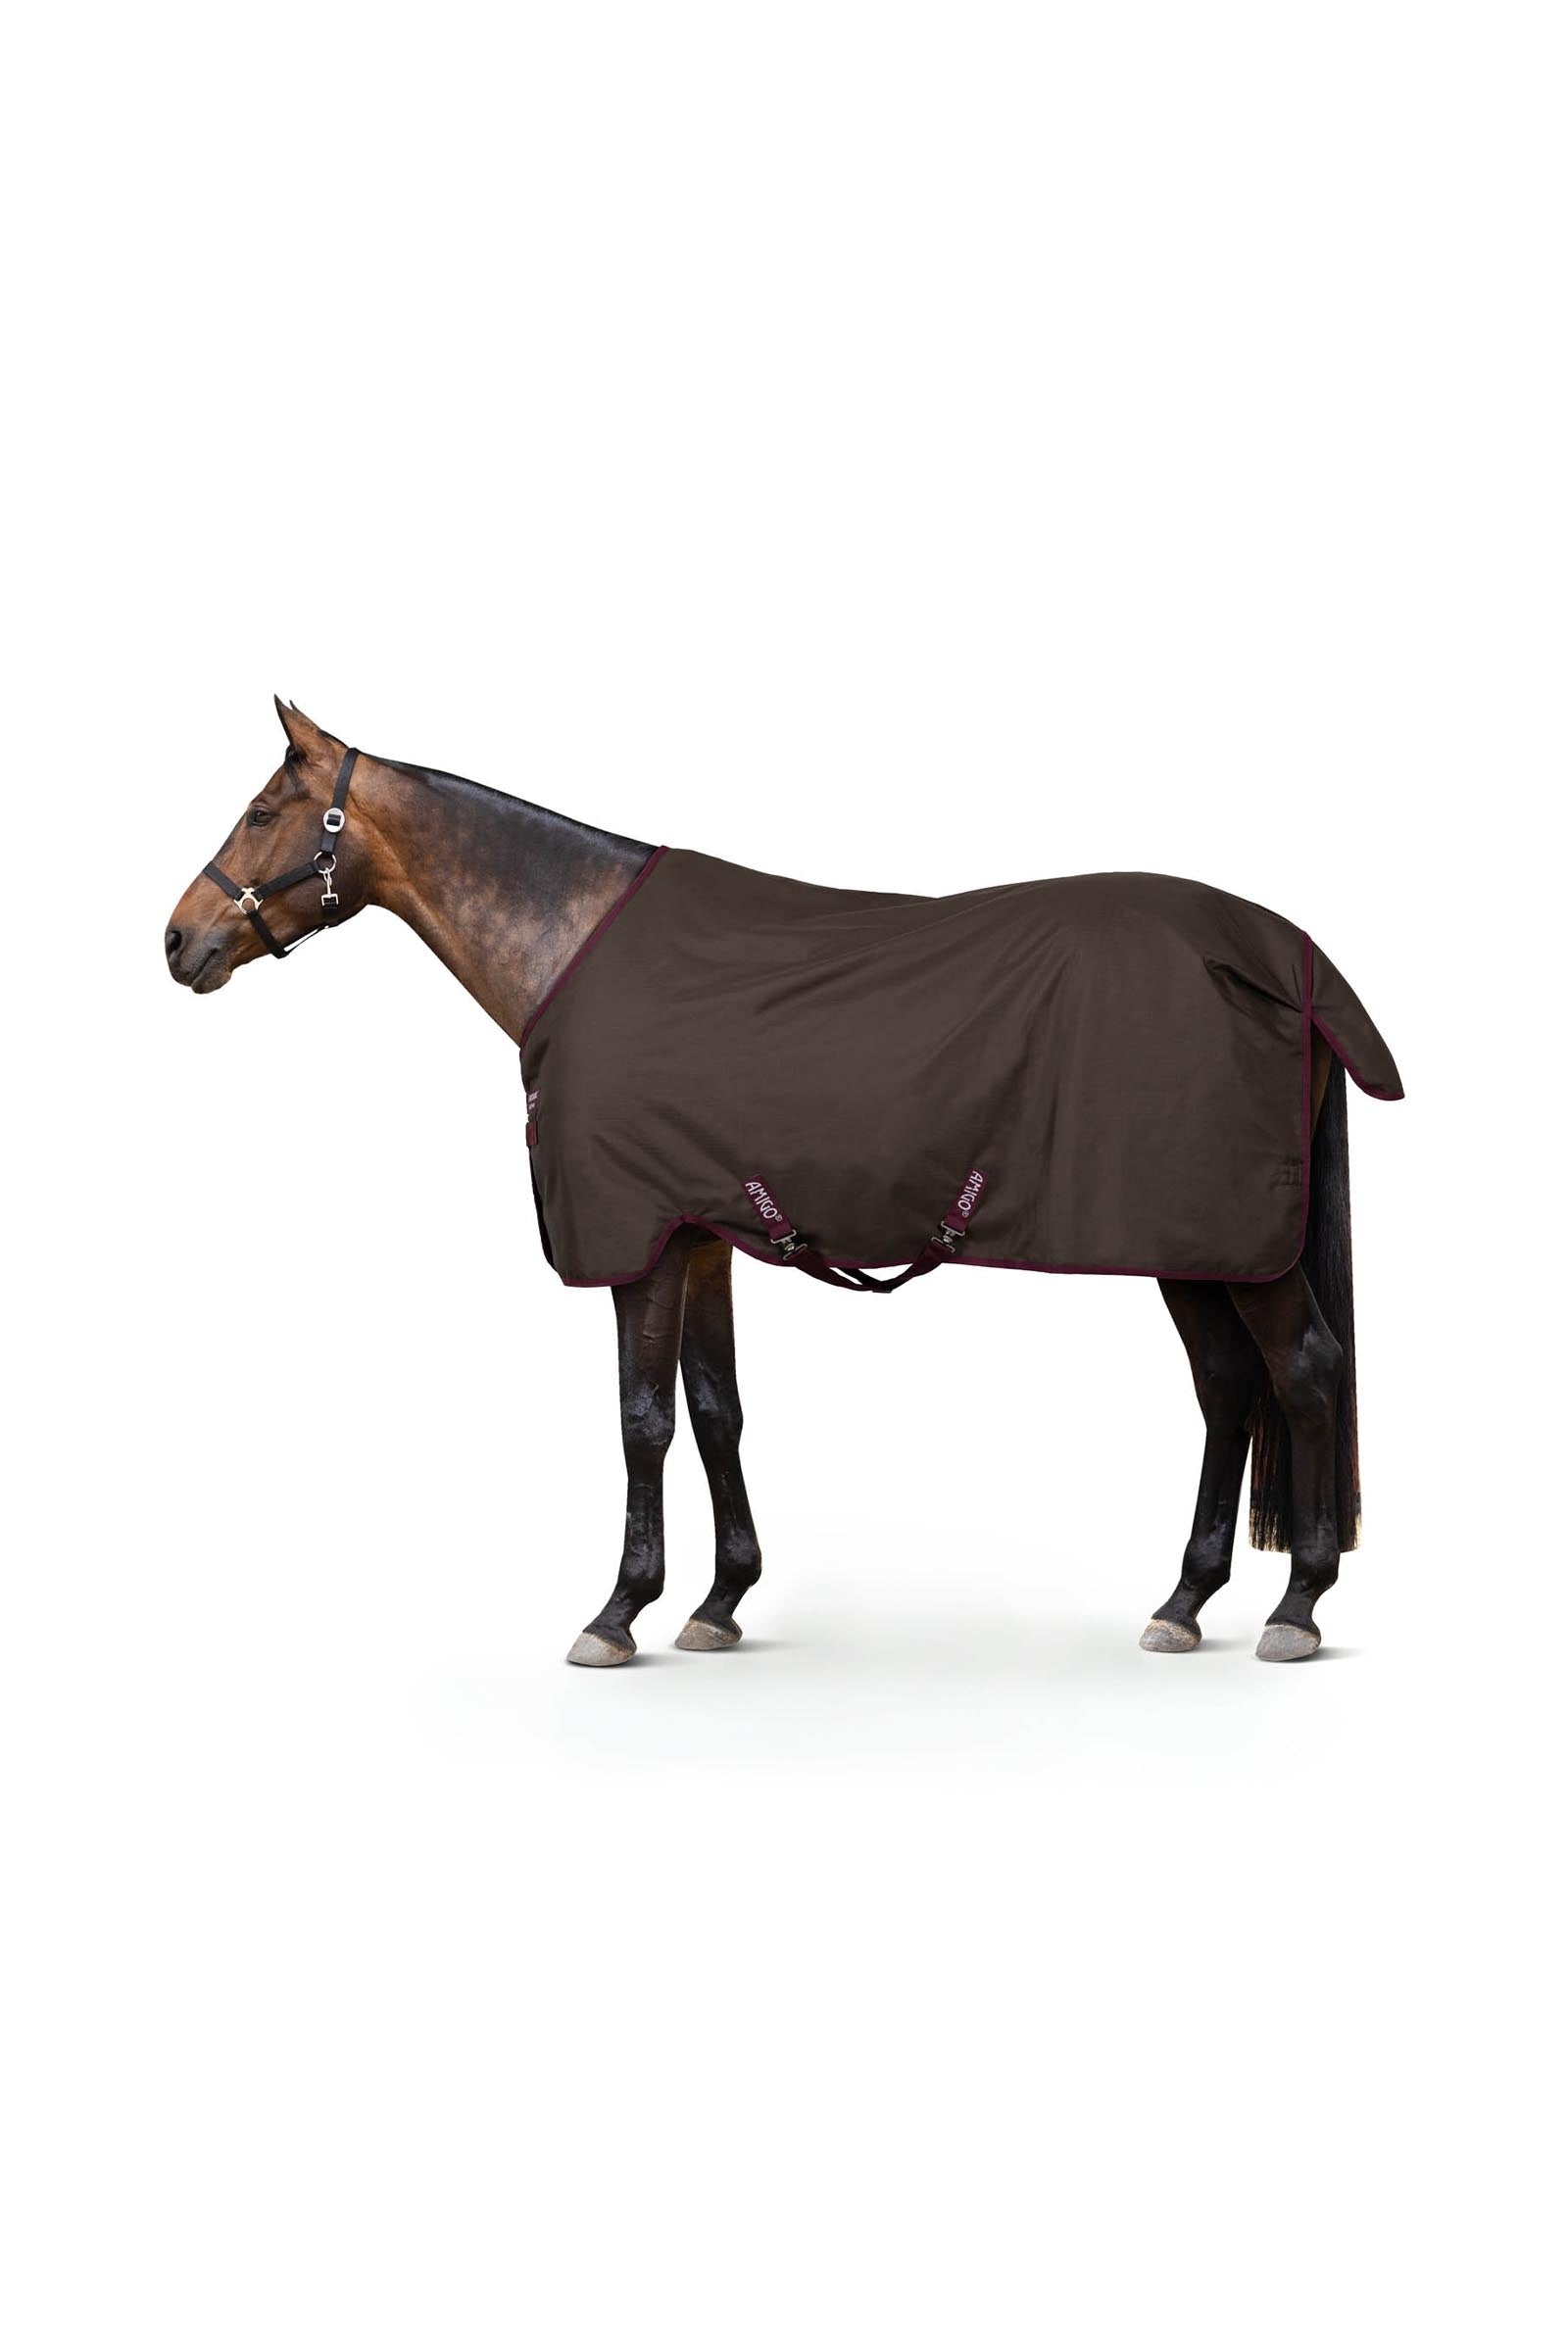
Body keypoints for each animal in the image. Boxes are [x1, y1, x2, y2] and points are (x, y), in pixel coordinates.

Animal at [166, 700, 1401, 1669]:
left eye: (264, 812)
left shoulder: (639, 1239)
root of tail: (1284, 955)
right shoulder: (702, 1234)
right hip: (1189, 1239)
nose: (178, 942)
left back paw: (1297, 1605)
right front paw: (718, 1602)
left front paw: (618, 1612)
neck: (574, 944)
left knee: (1301, 1371)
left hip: (1236, 1242)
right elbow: (717, 1409)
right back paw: (1185, 1601)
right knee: (1228, 1390)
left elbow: (643, 1420)